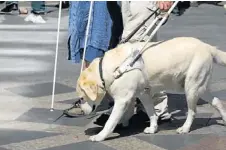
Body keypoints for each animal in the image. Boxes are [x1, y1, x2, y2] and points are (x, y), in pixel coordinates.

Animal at [76, 36, 226, 142]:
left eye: (82, 98)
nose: (82, 112)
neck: (112, 69)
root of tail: (207, 46)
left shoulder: (122, 100)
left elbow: (110, 122)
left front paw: (100, 136)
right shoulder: (144, 94)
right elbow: (151, 112)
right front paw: (153, 128)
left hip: (191, 88)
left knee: (192, 111)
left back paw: (185, 128)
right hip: (200, 87)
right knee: (217, 101)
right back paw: (224, 118)